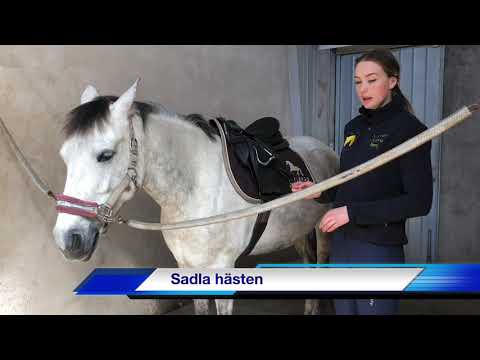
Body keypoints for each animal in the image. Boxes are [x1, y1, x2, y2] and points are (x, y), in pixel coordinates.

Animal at [52, 81, 340, 316]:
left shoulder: (223, 268)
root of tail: (325, 149)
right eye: (64, 156)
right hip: (297, 232)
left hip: (324, 228)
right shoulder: (187, 265)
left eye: (105, 155)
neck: (195, 191)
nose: (69, 240)